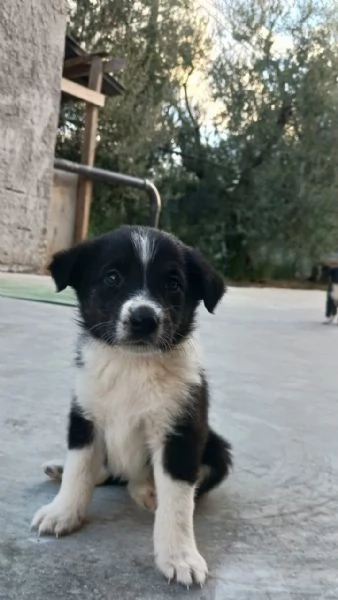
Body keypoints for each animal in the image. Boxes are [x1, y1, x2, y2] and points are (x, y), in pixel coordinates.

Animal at [31, 225, 232, 584]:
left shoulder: (181, 431)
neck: (132, 366)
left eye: (173, 283)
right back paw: (61, 469)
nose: (144, 318)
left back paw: (146, 491)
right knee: (104, 471)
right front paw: (63, 512)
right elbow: (79, 470)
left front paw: (179, 556)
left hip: (217, 448)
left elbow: (178, 502)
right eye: (112, 277)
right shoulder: (85, 417)